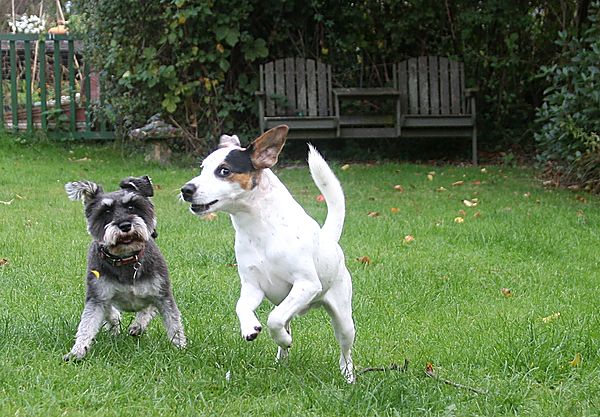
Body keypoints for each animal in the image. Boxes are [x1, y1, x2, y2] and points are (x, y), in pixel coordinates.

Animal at [63, 174, 185, 360]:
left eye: (131, 206)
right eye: (106, 211)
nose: (125, 226)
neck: (126, 259)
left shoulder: (162, 295)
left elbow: (173, 322)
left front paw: (180, 347)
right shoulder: (97, 297)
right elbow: (87, 324)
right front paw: (77, 351)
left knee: (147, 309)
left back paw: (137, 325)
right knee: (113, 313)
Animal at [180, 125, 354, 382]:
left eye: (224, 171)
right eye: (202, 168)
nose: (186, 190)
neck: (261, 229)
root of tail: (330, 240)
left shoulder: (306, 284)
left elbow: (274, 318)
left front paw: (280, 337)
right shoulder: (252, 286)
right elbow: (242, 307)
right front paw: (250, 328)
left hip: (343, 319)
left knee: (345, 350)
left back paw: (348, 376)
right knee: (287, 322)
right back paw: (282, 358)